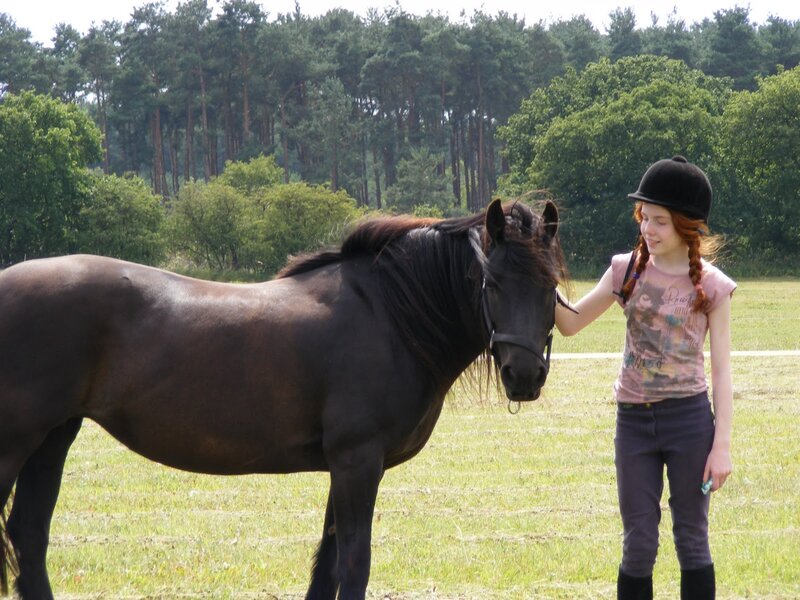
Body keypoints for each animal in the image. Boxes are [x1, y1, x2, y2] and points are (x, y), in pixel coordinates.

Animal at [0, 198, 568, 600]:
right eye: (492, 281)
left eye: (551, 285)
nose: (524, 376)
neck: (386, 314)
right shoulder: (357, 461)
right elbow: (353, 563)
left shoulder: (347, 466)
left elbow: (327, 564)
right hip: (17, 443)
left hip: (53, 439)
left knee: (29, 536)